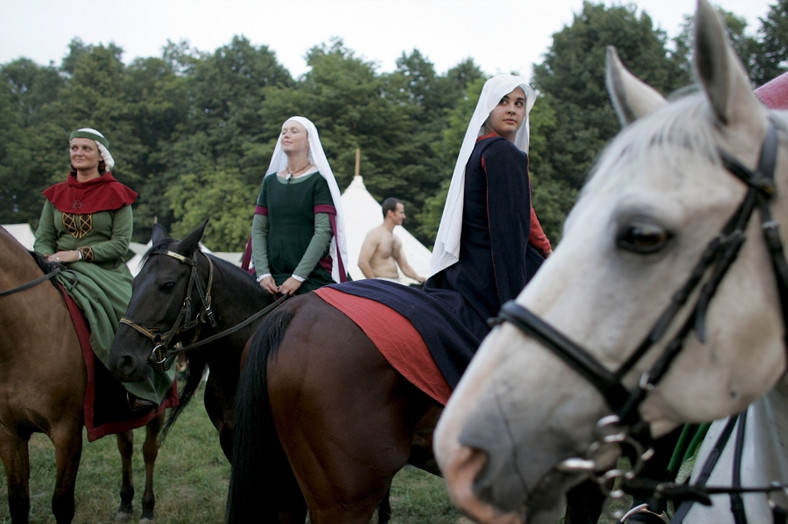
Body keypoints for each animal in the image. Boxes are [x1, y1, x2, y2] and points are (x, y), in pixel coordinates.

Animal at [0, 226, 165, 524]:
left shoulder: (66, 433)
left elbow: (62, 504)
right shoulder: (9, 434)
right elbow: (18, 503)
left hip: (159, 409)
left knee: (149, 451)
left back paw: (147, 507)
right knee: (126, 445)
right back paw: (125, 503)